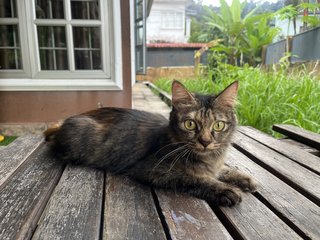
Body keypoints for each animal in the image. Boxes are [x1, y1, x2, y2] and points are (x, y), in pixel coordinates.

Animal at [44, 80, 258, 206]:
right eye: (190, 124)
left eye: (218, 125)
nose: (205, 141)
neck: (209, 158)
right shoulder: (153, 170)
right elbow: (195, 178)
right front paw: (225, 190)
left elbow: (223, 170)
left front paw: (243, 178)